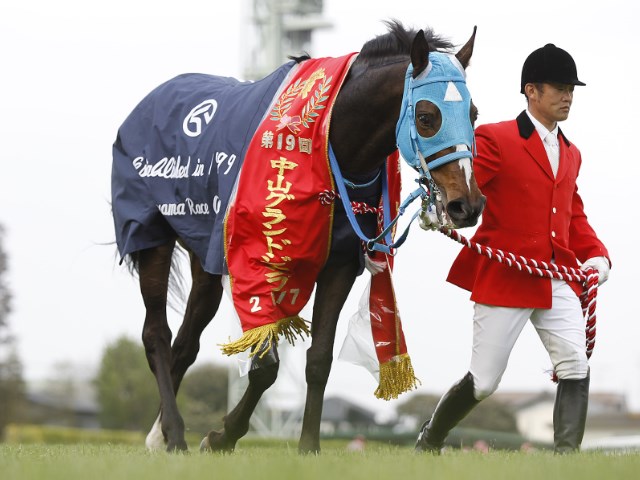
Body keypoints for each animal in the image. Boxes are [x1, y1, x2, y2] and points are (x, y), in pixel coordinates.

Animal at [112, 19, 484, 454]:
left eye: (473, 113)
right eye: (427, 116)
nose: (467, 205)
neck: (329, 143)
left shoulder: (340, 265)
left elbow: (319, 359)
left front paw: (308, 445)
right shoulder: (256, 259)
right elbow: (265, 366)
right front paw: (223, 435)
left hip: (206, 258)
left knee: (185, 342)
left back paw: (158, 434)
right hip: (151, 234)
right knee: (156, 334)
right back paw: (173, 432)